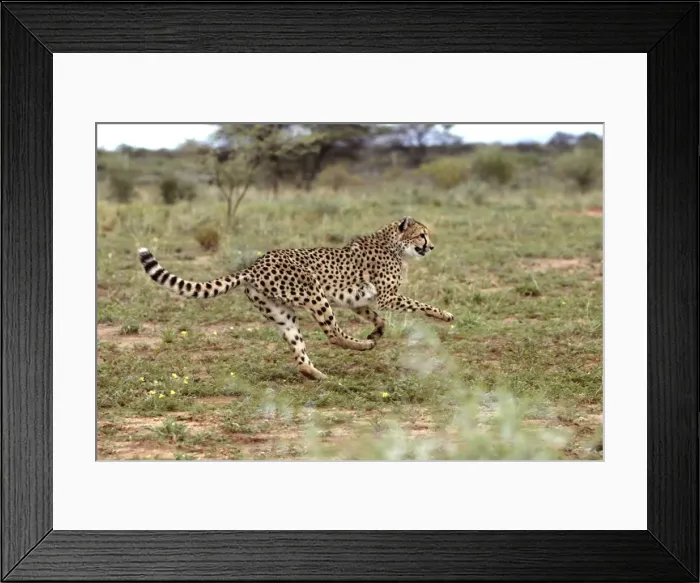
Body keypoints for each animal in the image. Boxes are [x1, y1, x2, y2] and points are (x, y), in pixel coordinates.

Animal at [137, 216, 454, 380]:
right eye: (422, 235)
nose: (432, 246)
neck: (393, 243)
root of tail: (255, 264)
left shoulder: (360, 301)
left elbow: (379, 319)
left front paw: (376, 332)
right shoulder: (388, 296)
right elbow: (420, 305)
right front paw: (445, 315)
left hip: (282, 313)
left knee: (300, 352)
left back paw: (317, 373)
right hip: (315, 294)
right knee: (333, 334)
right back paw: (360, 346)